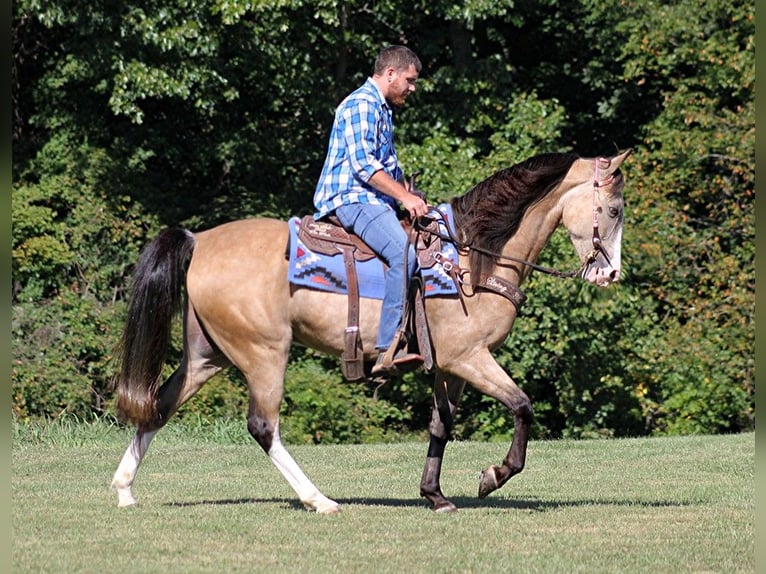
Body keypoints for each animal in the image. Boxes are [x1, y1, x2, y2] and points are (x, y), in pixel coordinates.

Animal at [111, 148, 632, 512]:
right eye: (613, 210)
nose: (610, 274)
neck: (471, 258)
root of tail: (199, 240)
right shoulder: (469, 357)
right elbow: (522, 406)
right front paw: (493, 475)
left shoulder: (451, 366)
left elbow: (441, 424)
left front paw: (434, 494)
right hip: (264, 353)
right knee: (263, 427)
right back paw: (319, 500)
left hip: (206, 355)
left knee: (159, 407)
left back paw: (123, 490)